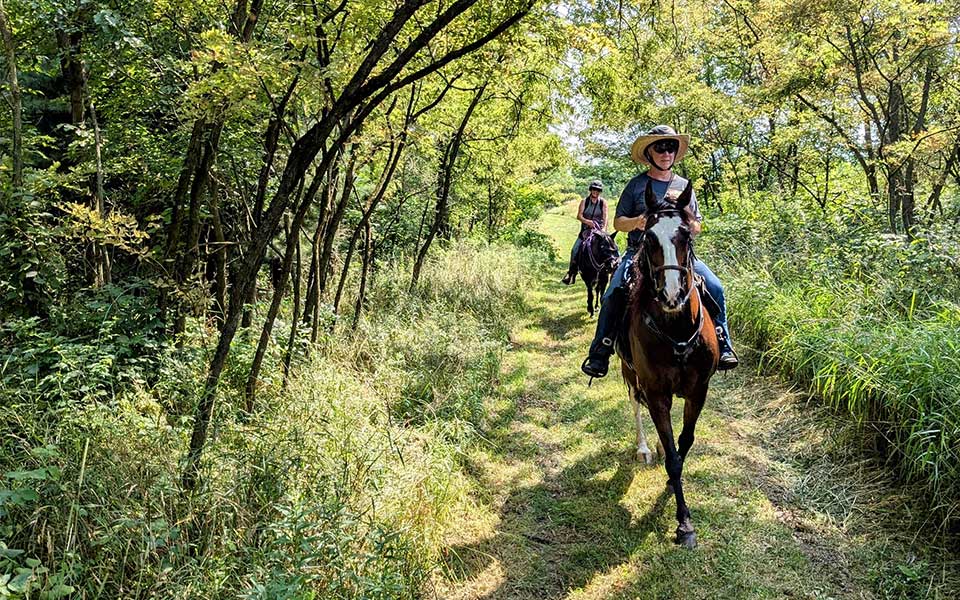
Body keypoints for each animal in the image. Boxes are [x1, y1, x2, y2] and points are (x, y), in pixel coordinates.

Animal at [616, 180, 720, 549]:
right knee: (635, 405)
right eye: (648, 238)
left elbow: (684, 442)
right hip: (629, 373)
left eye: (686, 235)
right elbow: (674, 458)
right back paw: (646, 448)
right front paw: (684, 523)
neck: (675, 330)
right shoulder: (656, 391)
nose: (671, 295)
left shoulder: (698, 391)